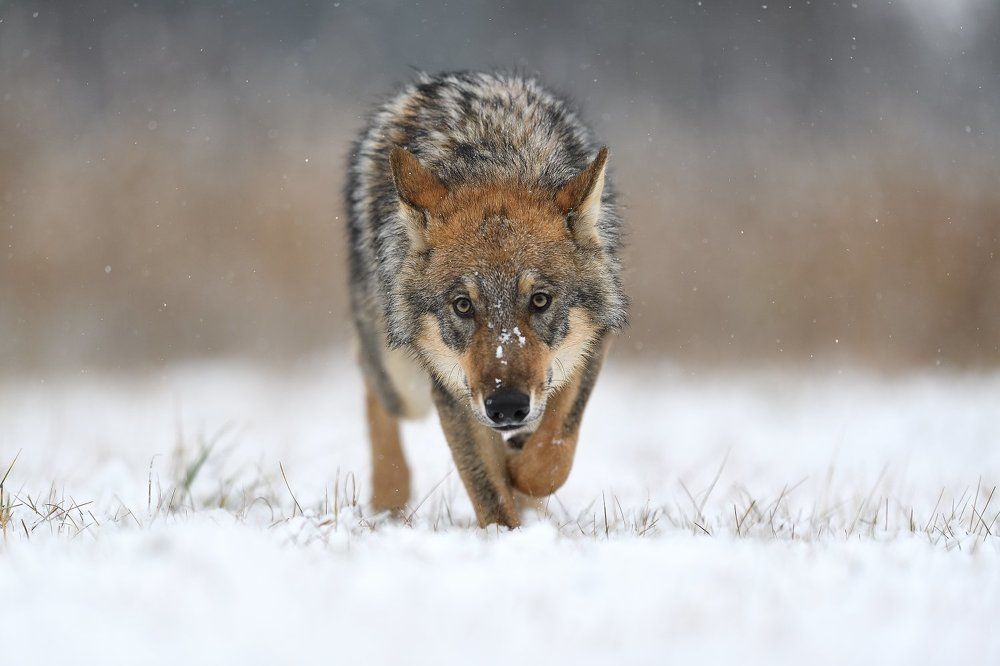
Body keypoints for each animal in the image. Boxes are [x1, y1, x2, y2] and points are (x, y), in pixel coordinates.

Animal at [346, 71, 626, 528]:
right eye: (463, 305)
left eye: (540, 300)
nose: (507, 407)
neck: (497, 158)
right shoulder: (452, 390)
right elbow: (492, 495)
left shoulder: (593, 343)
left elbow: (551, 454)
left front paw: (521, 466)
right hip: (404, 383)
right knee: (373, 386)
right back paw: (389, 496)